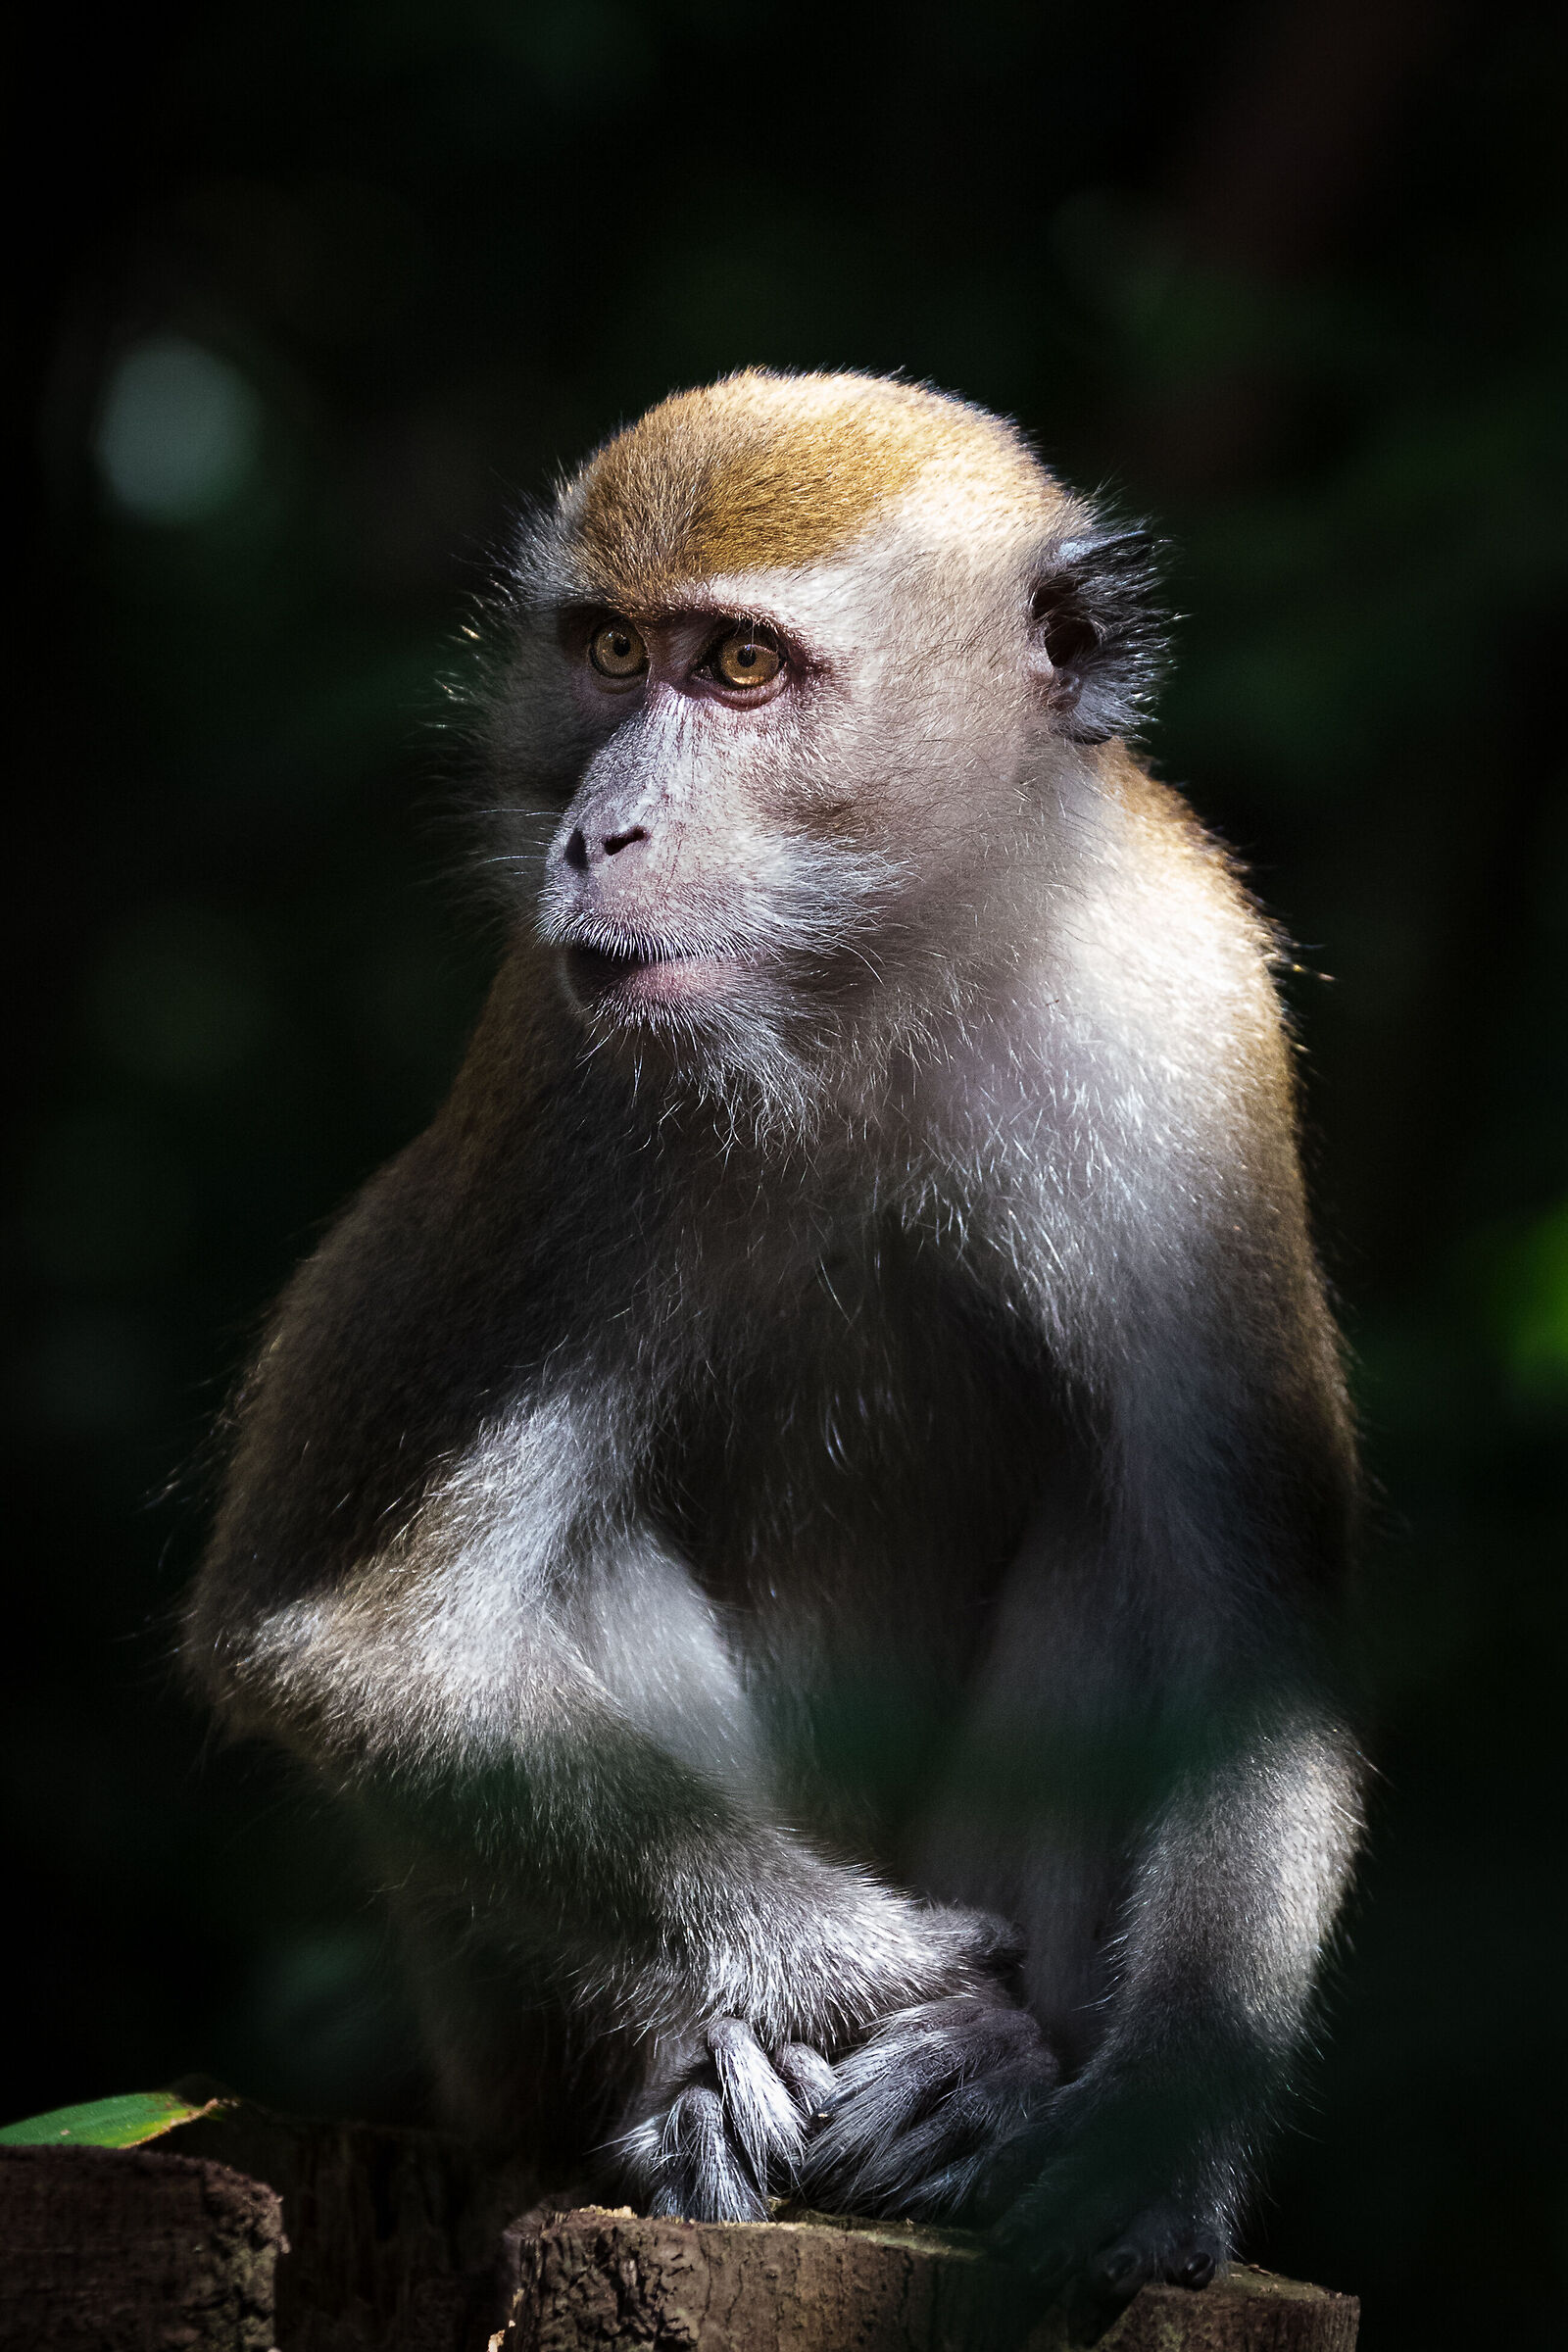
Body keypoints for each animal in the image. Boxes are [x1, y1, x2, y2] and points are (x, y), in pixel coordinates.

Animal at [185, 370, 1361, 2337]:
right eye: (607, 651)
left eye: (741, 668)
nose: (603, 835)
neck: (868, 990)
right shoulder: (571, 1095)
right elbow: (354, 1641)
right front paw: (866, 1976)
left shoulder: (1182, 1039)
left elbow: (1247, 1631)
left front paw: (1145, 2132)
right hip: (490, 2042)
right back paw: (696, 2088)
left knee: (1125, 1538)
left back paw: (987, 2093)